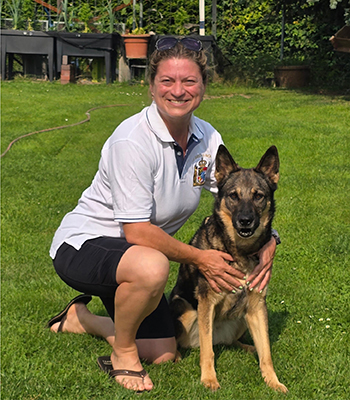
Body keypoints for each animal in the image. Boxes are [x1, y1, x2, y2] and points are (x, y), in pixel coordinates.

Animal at [169, 145, 288, 392]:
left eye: (258, 196)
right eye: (234, 196)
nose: (245, 220)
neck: (240, 251)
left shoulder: (257, 305)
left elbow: (266, 352)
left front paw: (273, 381)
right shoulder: (206, 303)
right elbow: (208, 352)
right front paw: (209, 379)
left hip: (243, 317)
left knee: (234, 342)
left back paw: (249, 348)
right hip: (185, 309)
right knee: (190, 342)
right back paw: (175, 355)